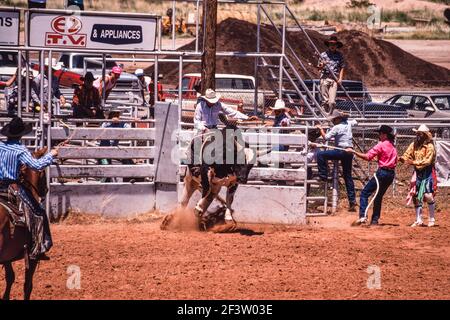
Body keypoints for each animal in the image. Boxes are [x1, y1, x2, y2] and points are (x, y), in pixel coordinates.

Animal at [0, 148, 49, 300]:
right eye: (43, 172)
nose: (46, 190)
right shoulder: (32, 257)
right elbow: (28, 285)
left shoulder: (7, 255)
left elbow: (10, 277)